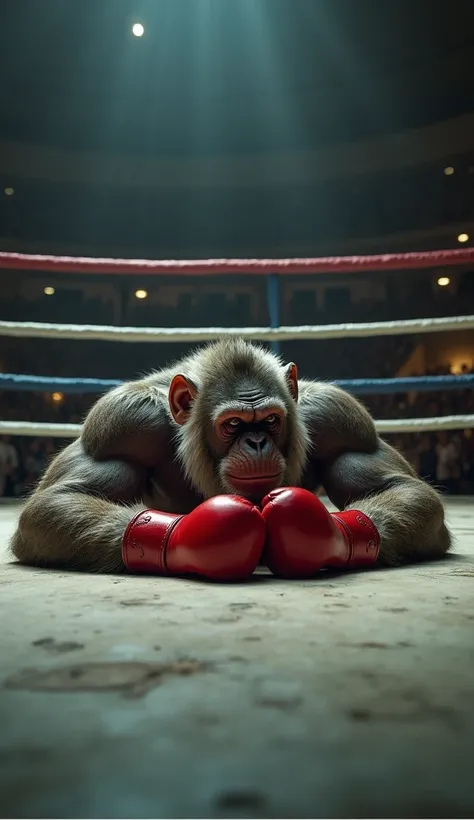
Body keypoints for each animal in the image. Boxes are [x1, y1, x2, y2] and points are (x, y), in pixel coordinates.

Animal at [9, 338, 450, 576]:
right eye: (233, 424)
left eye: (270, 420)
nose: (256, 443)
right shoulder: (122, 423)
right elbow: (55, 502)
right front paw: (200, 534)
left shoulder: (340, 418)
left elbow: (402, 488)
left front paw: (319, 531)